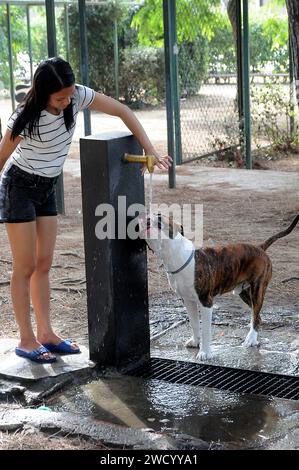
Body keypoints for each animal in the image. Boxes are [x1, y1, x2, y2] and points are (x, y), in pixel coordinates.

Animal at [139, 213, 298, 360]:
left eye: (159, 218)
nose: (146, 217)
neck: (175, 255)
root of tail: (260, 248)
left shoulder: (206, 302)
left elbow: (205, 330)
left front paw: (204, 353)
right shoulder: (188, 301)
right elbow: (194, 323)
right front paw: (195, 342)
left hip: (257, 289)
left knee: (256, 313)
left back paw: (251, 339)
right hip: (243, 292)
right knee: (257, 316)